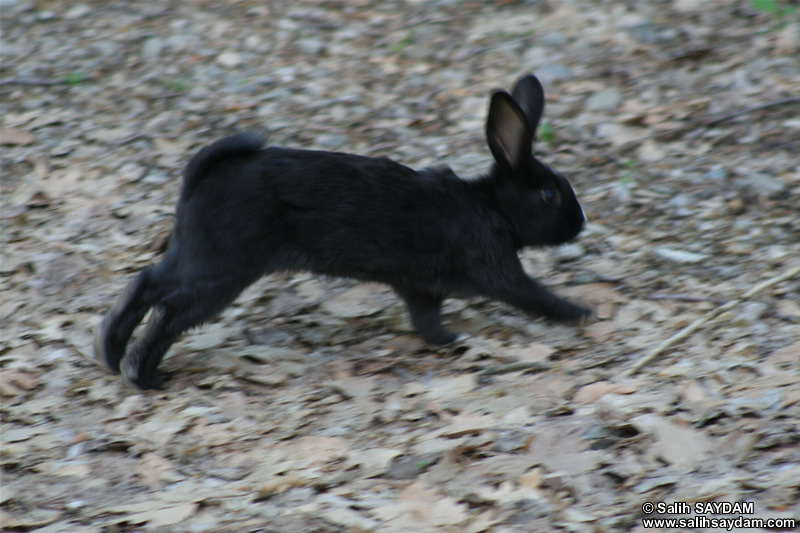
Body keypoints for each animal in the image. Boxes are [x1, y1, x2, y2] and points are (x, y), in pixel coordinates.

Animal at [97, 74, 592, 386]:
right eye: (549, 194)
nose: (581, 223)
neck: (491, 208)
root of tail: (200, 180)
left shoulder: (420, 287)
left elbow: (426, 319)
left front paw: (448, 340)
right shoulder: (497, 269)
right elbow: (533, 295)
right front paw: (580, 312)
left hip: (196, 256)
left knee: (145, 285)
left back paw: (110, 354)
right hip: (224, 271)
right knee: (170, 312)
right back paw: (145, 378)